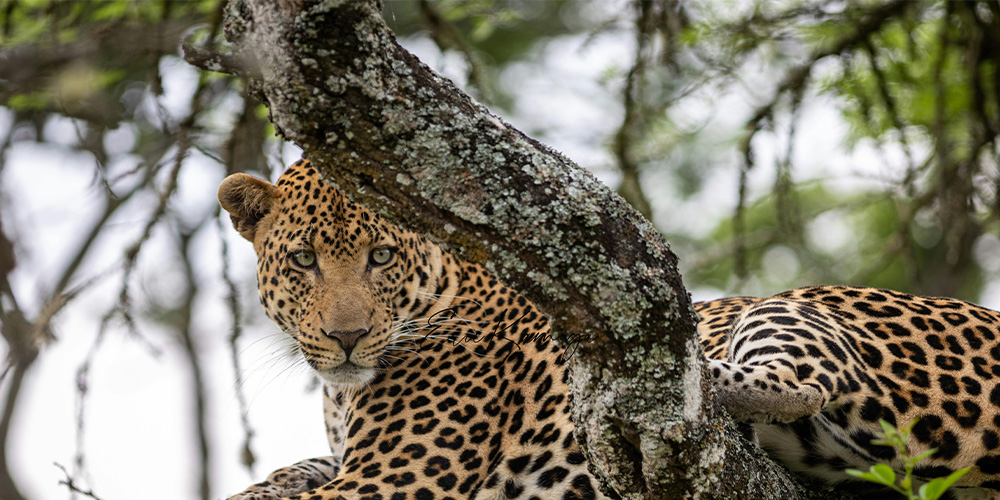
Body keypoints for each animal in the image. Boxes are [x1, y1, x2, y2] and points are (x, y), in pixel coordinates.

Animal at [221, 160, 1000, 499]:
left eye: (380, 257)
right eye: (303, 260)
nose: (348, 337)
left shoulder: (396, 479)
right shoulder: (351, 460)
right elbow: (300, 469)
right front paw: (270, 481)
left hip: (799, 306)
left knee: (802, 378)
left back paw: (642, 386)